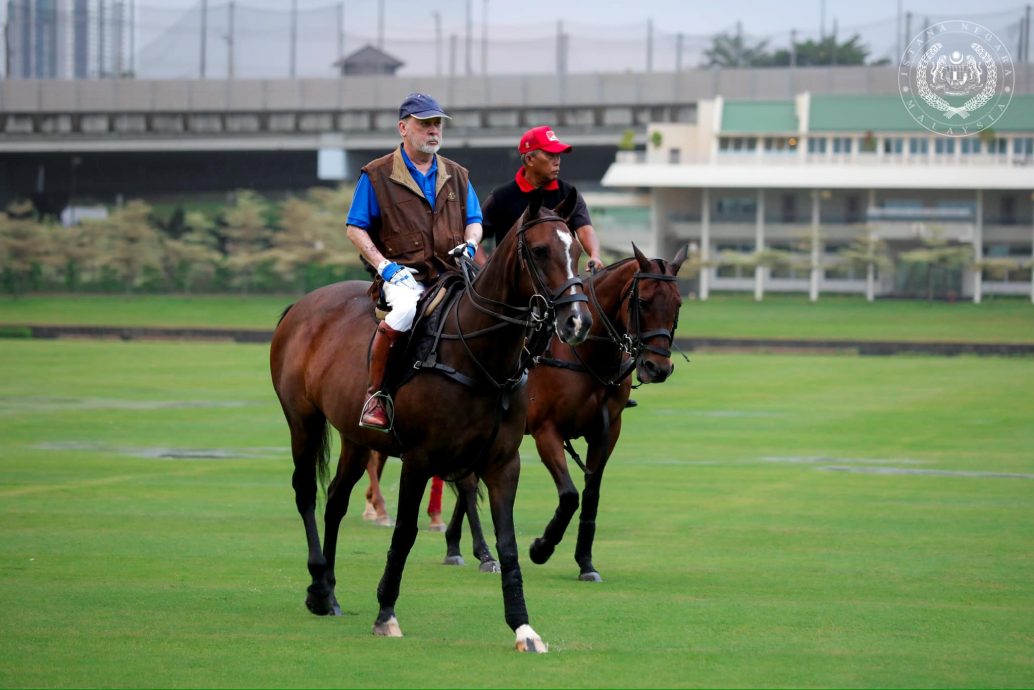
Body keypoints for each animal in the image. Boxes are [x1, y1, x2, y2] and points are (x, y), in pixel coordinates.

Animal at [268, 194, 591, 653]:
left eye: (576, 249)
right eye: (541, 250)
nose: (577, 322)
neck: (479, 354)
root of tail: (299, 306)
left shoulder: (503, 463)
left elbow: (507, 544)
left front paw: (524, 628)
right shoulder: (419, 459)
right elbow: (404, 532)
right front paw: (386, 613)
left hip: (355, 436)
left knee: (335, 499)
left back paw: (328, 591)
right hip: (303, 419)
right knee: (306, 492)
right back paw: (316, 585)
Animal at [428, 243, 686, 579]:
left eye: (678, 304)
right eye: (642, 301)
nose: (658, 368)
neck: (586, 351)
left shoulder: (607, 431)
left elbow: (591, 495)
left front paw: (585, 562)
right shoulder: (546, 431)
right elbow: (569, 495)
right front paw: (542, 547)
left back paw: (455, 544)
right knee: (468, 484)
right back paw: (482, 552)